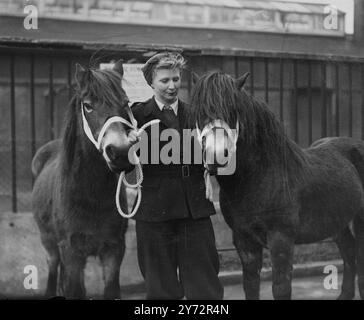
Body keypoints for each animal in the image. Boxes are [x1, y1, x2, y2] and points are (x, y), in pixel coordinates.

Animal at [30, 60, 136, 300]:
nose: (120, 153)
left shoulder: (114, 250)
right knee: (53, 269)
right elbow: (74, 289)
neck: (91, 195)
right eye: (88, 106)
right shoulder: (71, 252)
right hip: (49, 243)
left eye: (125, 103)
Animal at [189, 70, 364, 300]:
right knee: (349, 250)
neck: (259, 178)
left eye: (234, 111)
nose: (216, 156)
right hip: (337, 222)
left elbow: (280, 288)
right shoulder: (244, 240)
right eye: (199, 112)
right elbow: (251, 285)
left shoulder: (281, 239)